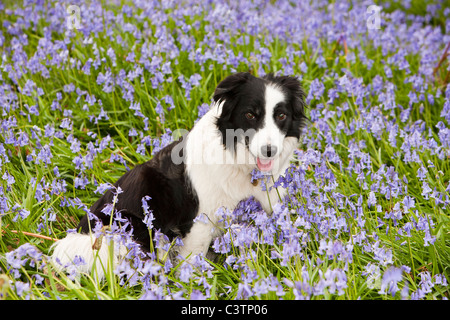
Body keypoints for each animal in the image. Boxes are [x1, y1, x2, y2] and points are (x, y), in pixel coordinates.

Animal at [51, 72, 308, 280]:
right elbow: (193, 259)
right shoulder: (201, 220)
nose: (269, 150)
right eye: (251, 115)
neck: (240, 163)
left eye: (281, 116)